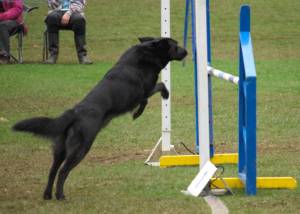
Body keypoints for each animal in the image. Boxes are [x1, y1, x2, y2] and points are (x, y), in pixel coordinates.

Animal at [13, 37, 188, 201]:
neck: (148, 53)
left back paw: (48, 195)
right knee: (63, 171)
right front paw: (144, 109)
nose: (186, 52)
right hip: (81, 148)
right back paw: (60, 195)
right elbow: (159, 87)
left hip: (60, 150)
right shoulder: (144, 91)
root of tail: (74, 112)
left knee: (52, 170)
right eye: (175, 45)